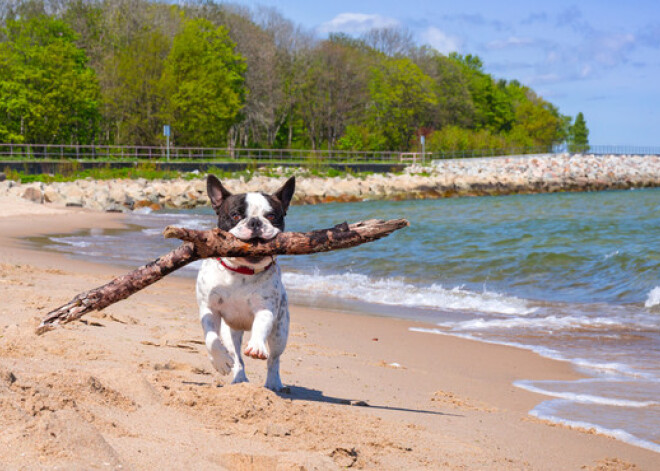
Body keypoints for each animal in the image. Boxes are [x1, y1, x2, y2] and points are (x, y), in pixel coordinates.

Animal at [196, 175, 296, 392]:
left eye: (272, 216)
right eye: (235, 215)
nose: (255, 222)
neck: (241, 271)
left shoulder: (266, 308)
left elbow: (261, 325)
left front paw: (257, 346)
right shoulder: (209, 309)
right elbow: (211, 338)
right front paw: (219, 361)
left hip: (281, 331)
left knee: (274, 359)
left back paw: (273, 383)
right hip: (230, 331)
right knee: (236, 356)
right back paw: (238, 377)